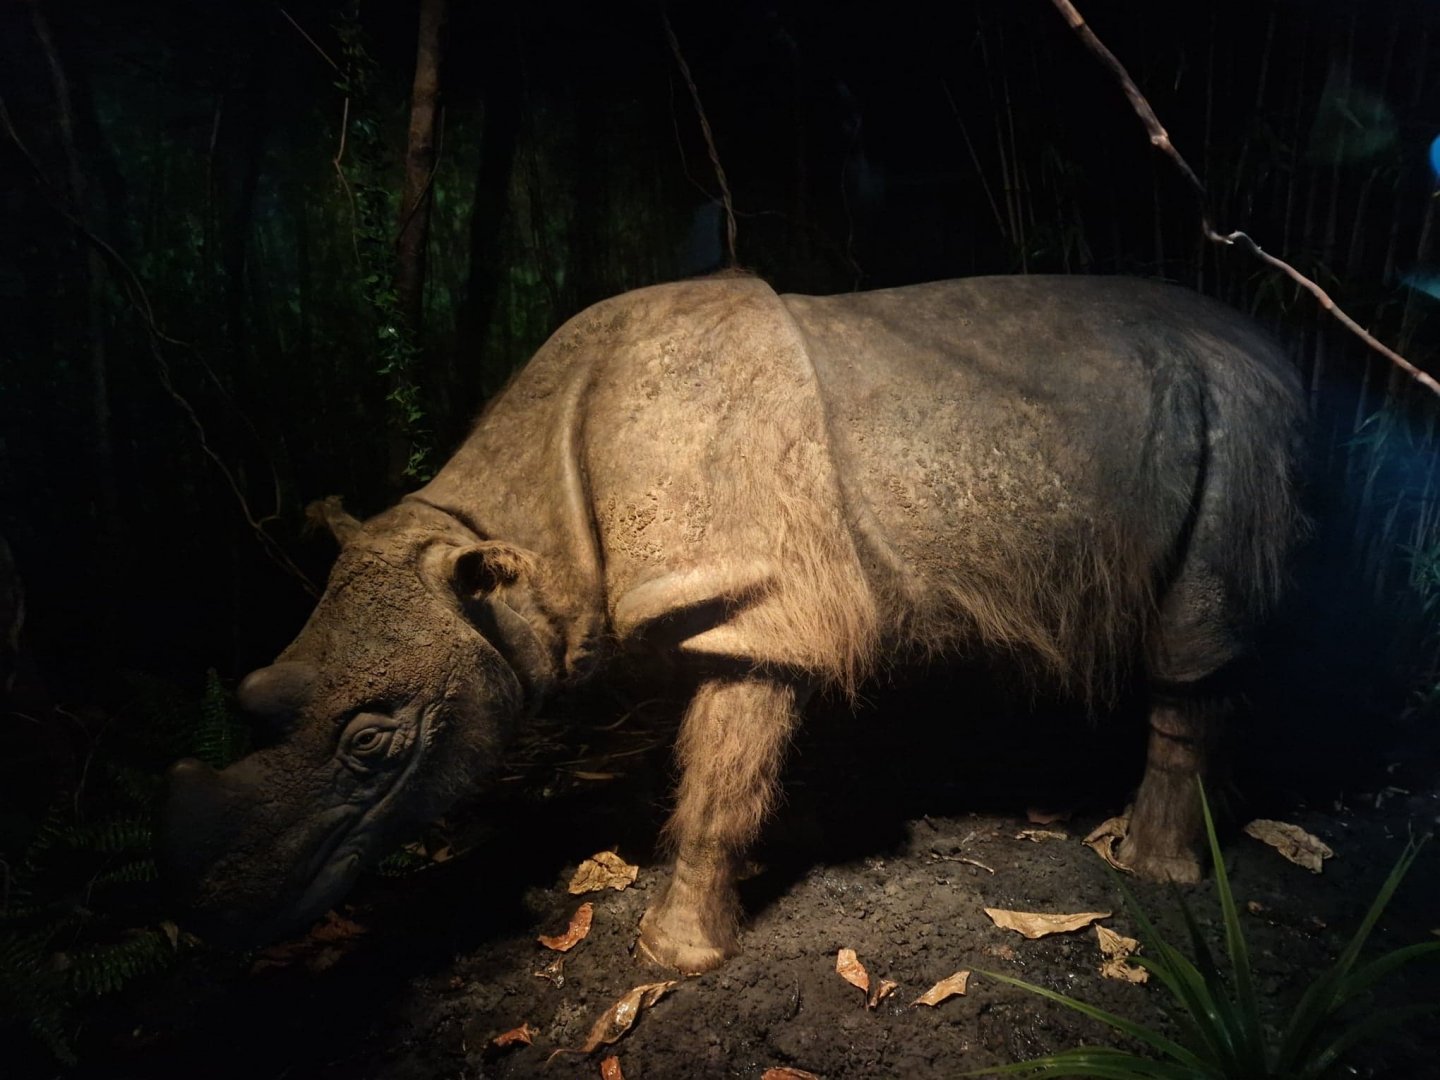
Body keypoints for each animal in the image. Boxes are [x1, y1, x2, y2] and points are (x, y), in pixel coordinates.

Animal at [164, 274, 1303, 973]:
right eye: (254, 695)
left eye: (373, 745)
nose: (209, 914)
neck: (513, 542)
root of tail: (1276, 348)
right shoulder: (727, 594)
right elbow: (727, 771)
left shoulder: (752, 595)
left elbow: (717, 785)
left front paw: (672, 956)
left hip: (1241, 412)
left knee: (1195, 640)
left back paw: (1145, 870)